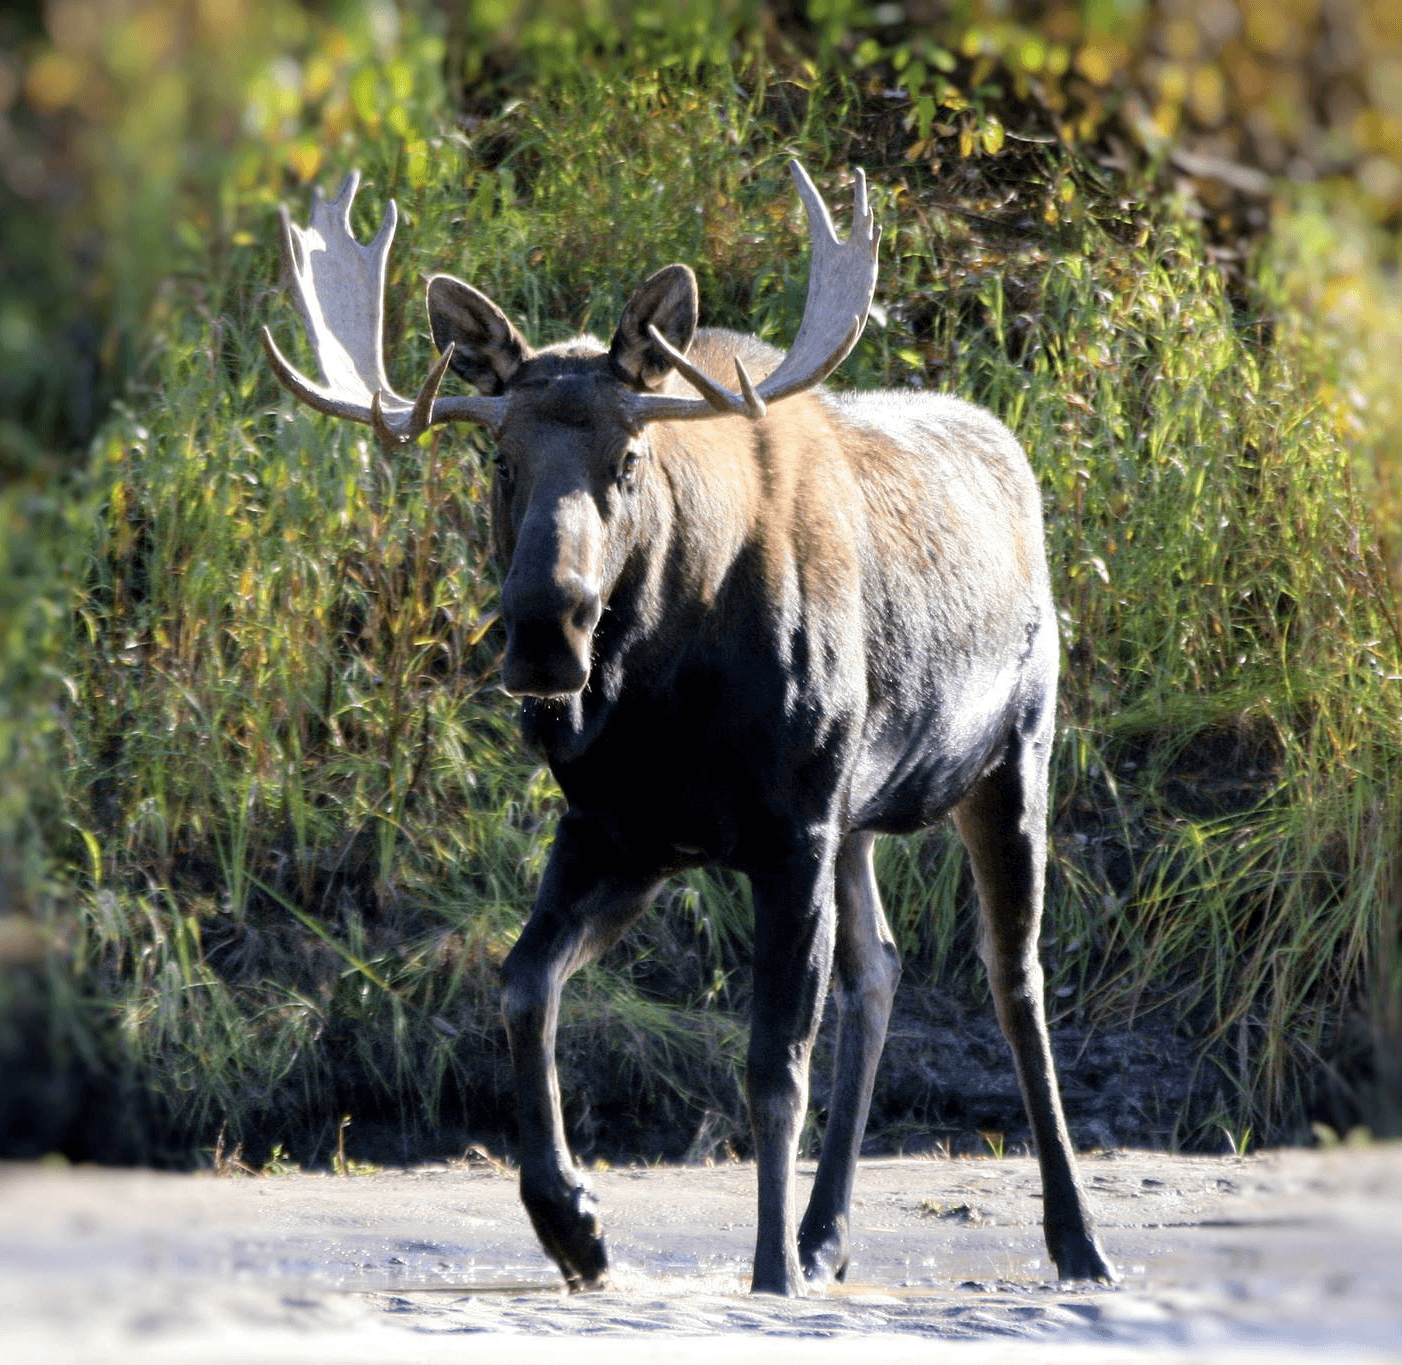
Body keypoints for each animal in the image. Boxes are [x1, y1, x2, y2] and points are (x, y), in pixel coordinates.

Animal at [261, 161, 1117, 1296]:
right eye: (498, 456)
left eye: (629, 455)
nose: (545, 630)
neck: (665, 690)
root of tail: (1018, 461)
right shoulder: (622, 830)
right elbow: (521, 982)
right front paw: (574, 1224)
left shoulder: (789, 832)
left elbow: (771, 1066)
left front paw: (765, 1274)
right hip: (858, 818)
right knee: (882, 970)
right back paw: (827, 1233)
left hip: (1012, 757)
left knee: (1013, 978)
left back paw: (1075, 1242)